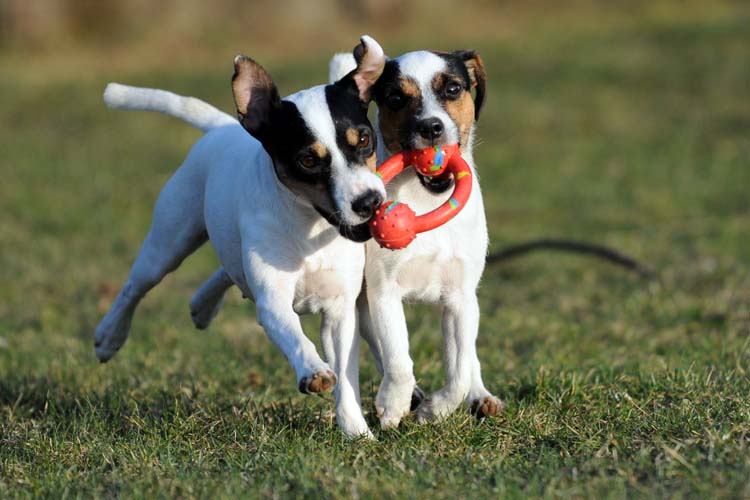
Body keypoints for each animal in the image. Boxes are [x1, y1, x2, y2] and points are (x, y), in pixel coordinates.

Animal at [93, 36, 388, 438]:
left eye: (365, 139)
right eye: (308, 160)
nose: (369, 202)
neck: (310, 228)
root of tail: (223, 127)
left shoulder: (339, 310)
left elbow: (346, 376)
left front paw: (357, 431)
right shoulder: (273, 301)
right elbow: (295, 335)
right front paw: (313, 370)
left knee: (227, 269)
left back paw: (203, 305)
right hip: (169, 241)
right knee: (134, 288)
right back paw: (110, 336)